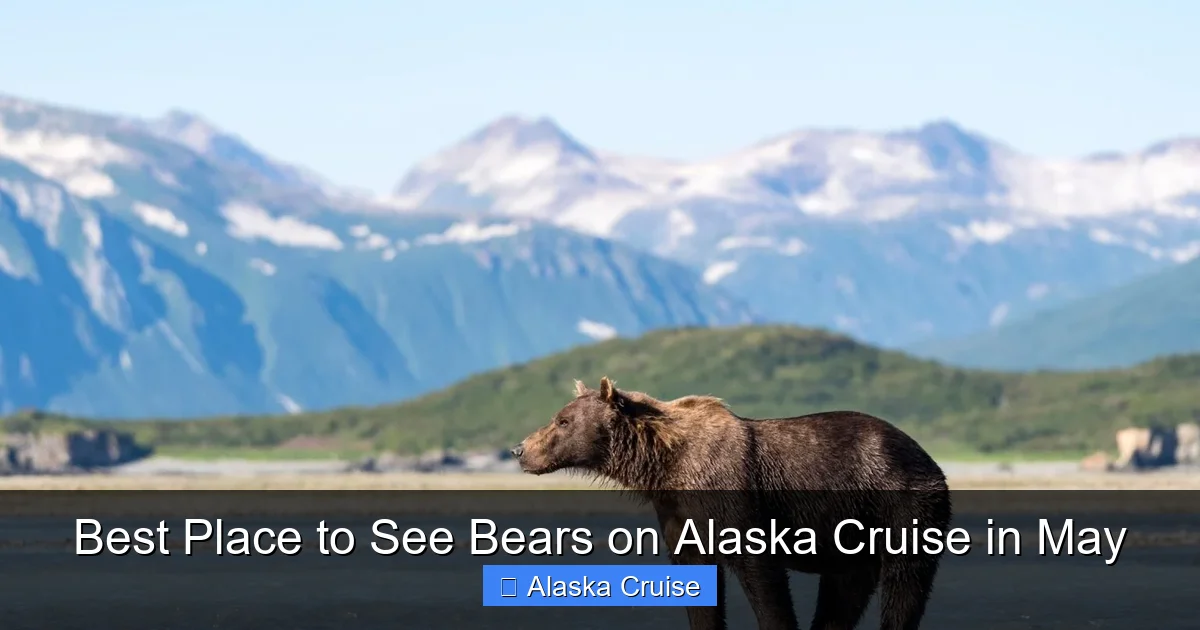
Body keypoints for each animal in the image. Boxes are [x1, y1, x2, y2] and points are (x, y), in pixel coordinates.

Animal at [512, 376, 952, 630]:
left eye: (563, 420)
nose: (520, 449)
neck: (667, 464)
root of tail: (926, 455)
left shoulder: (732, 496)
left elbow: (763, 581)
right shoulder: (677, 512)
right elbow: (696, 582)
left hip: (901, 503)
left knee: (904, 585)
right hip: (853, 536)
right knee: (843, 596)